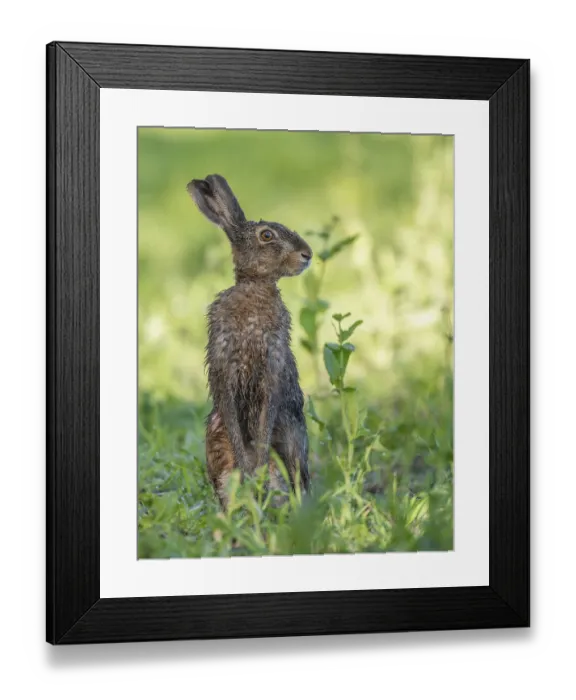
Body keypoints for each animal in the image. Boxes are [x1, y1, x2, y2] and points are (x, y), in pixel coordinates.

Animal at [187, 174, 313, 509]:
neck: (254, 287)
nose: (307, 254)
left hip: (292, 436)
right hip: (215, 437)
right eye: (267, 235)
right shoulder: (224, 362)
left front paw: (254, 465)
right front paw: (248, 466)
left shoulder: (272, 363)